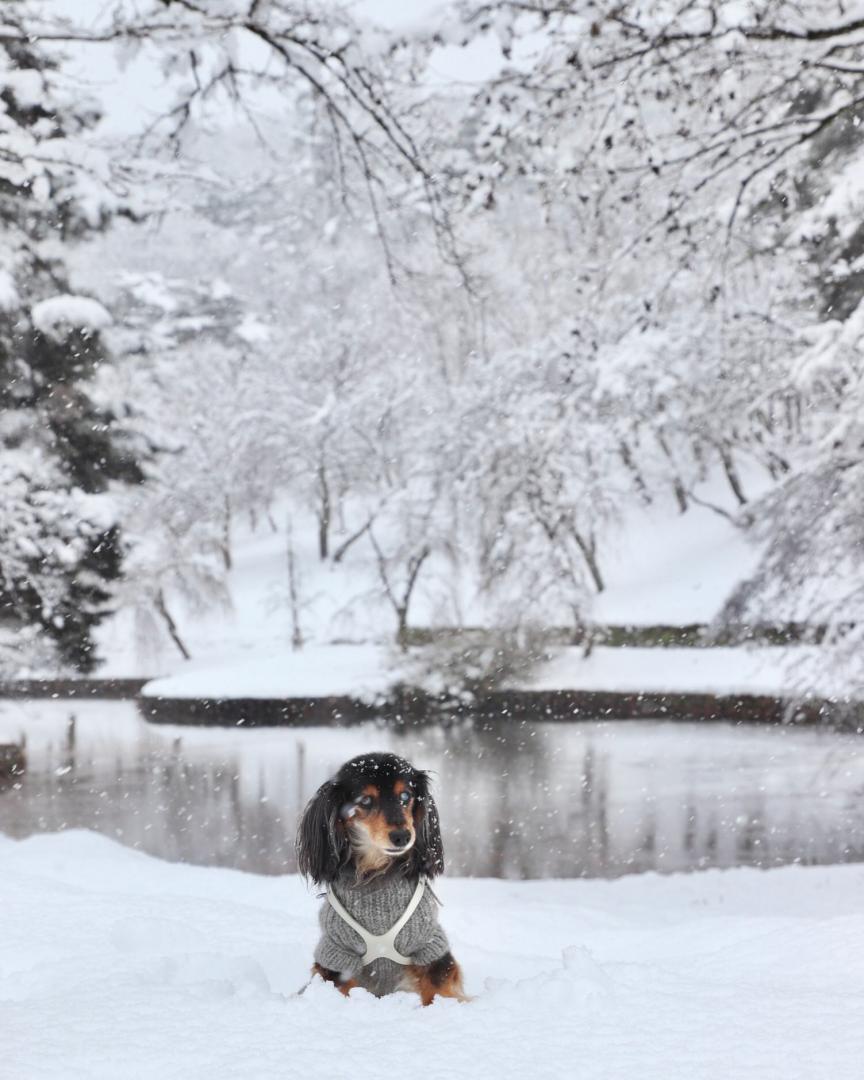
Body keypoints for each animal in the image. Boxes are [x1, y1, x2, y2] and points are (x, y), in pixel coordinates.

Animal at [300, 751, 468, 1002]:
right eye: (365, 801)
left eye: (406, 795)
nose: (402, 836)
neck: (377, 873)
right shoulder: (336, 953)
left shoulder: (430, 946)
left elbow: (437, 989)